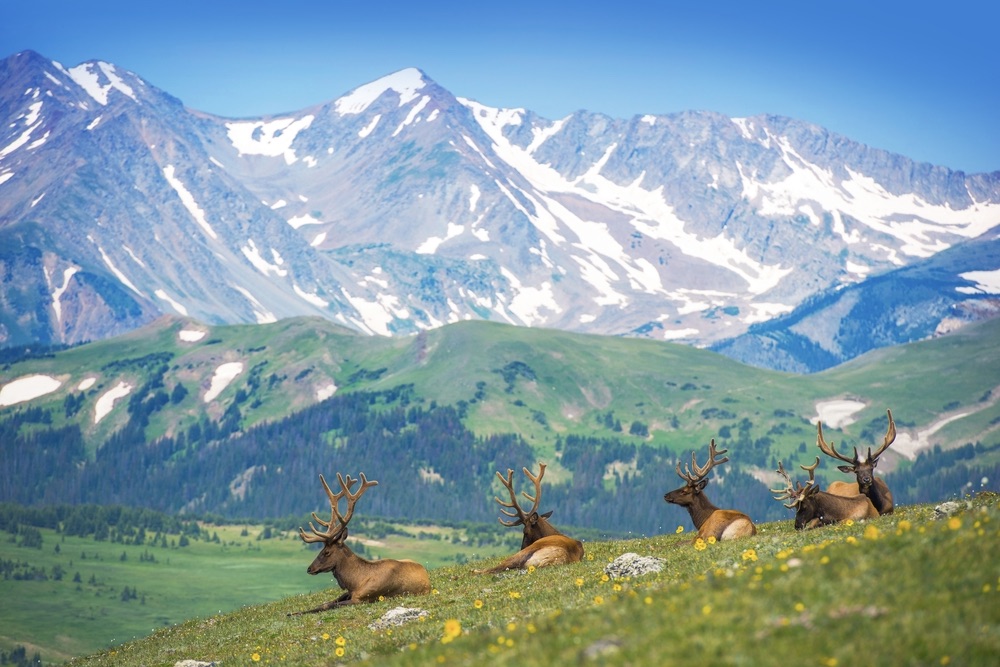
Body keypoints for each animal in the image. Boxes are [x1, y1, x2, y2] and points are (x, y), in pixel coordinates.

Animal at [290, 472, 430, 620]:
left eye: (326, 552)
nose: (309, 569)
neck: (356, 581)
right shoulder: (349, 593)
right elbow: (325, 603)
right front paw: (293, 612)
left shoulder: (362, 599)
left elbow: (329, 605)